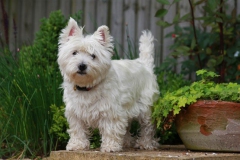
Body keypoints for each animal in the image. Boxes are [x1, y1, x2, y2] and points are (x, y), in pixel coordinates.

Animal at [57, 17, 160, 152]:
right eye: (74, 53)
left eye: (93, 56)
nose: (82, 65)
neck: (87, 88)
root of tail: (144, 64)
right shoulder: (75, 113)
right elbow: (77, 130)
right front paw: (77, 145)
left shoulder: (111, 112)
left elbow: (111, 129)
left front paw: (110, 146)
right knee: (127, 127)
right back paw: (126, 142)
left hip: (146, 107)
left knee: (148, 127)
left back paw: (145, 143)